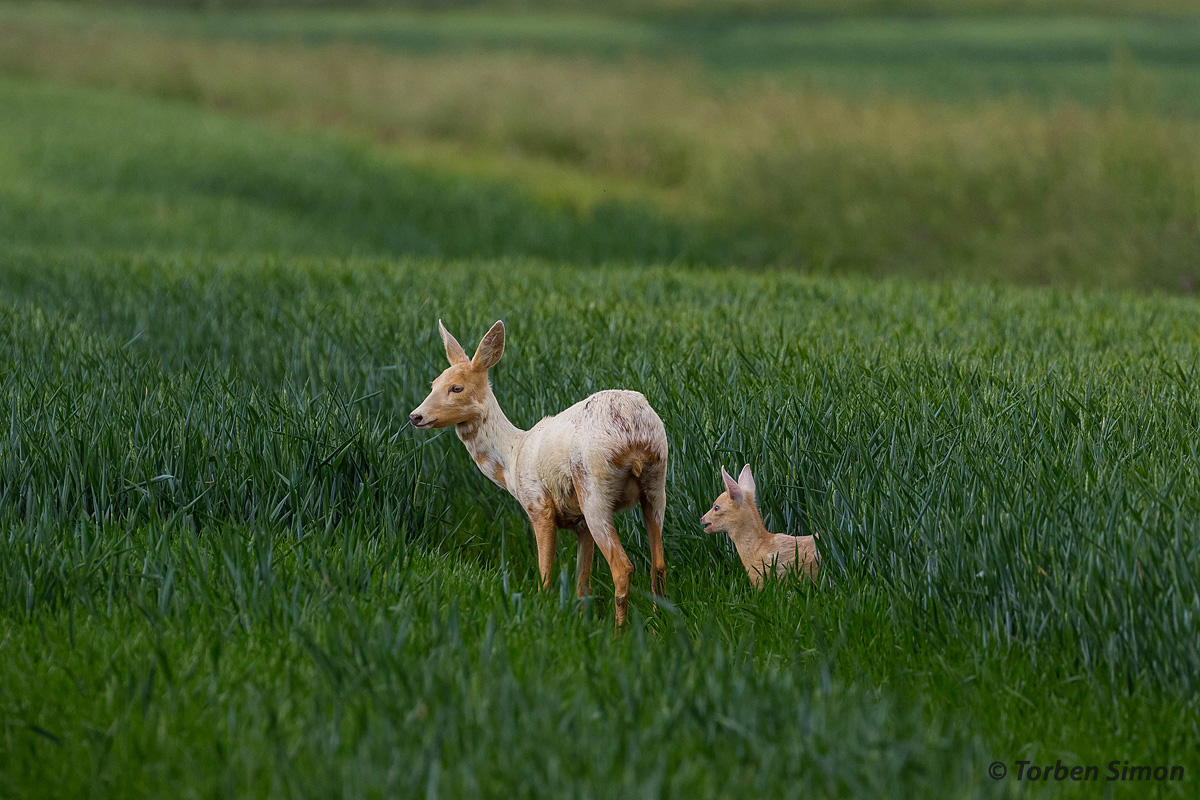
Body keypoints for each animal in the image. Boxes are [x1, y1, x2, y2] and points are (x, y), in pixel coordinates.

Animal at [403, 321, 667, 628]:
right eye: (433, 384)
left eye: (456, 388)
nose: (415, 416)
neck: (513, 457)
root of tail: (632, 429)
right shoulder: (579, 523)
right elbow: (582, 584)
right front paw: (580, 622)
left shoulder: (539, 506)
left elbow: (545, 575)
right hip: (656, 481)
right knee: (659, 564)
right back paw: (658, 625)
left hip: (593, 486)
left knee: (623, 567)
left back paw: (620, 633)